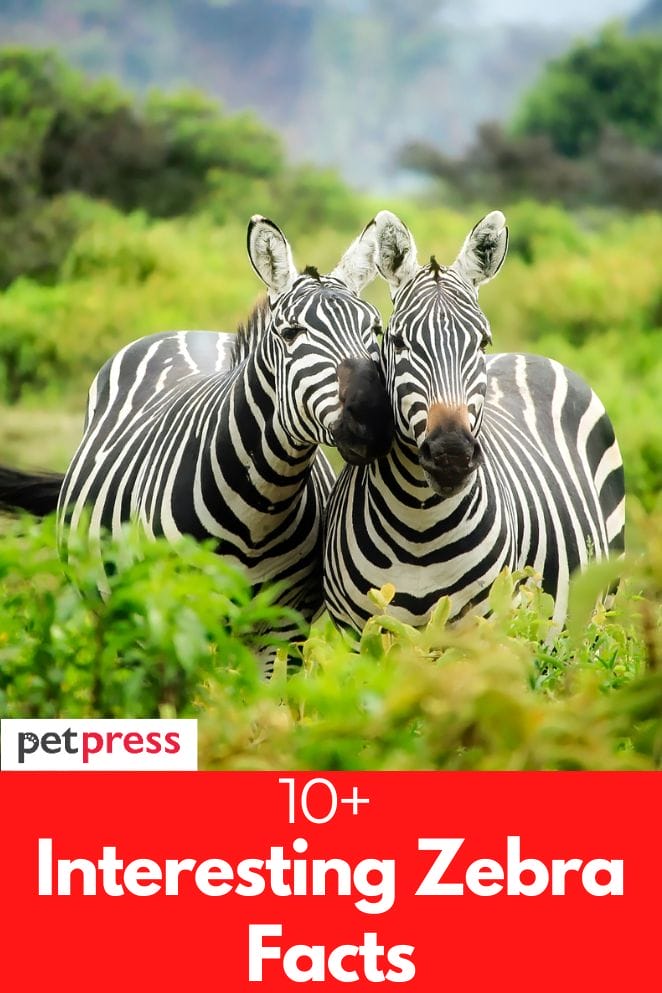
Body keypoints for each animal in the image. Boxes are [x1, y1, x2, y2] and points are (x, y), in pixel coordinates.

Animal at [2, 216, 394, 672]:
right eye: (291, 332)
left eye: (375, 329)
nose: (373, 420)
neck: (262, 505)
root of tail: (190, 332)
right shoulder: (175, 616)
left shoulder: (284, 626)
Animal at [323, 209, 625, 635]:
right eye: (398, 342)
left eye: (482, 342)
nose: (451, 455)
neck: (419, 526)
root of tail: (530, 355)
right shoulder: (359, 634)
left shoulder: (483, 631)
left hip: (598, 610)